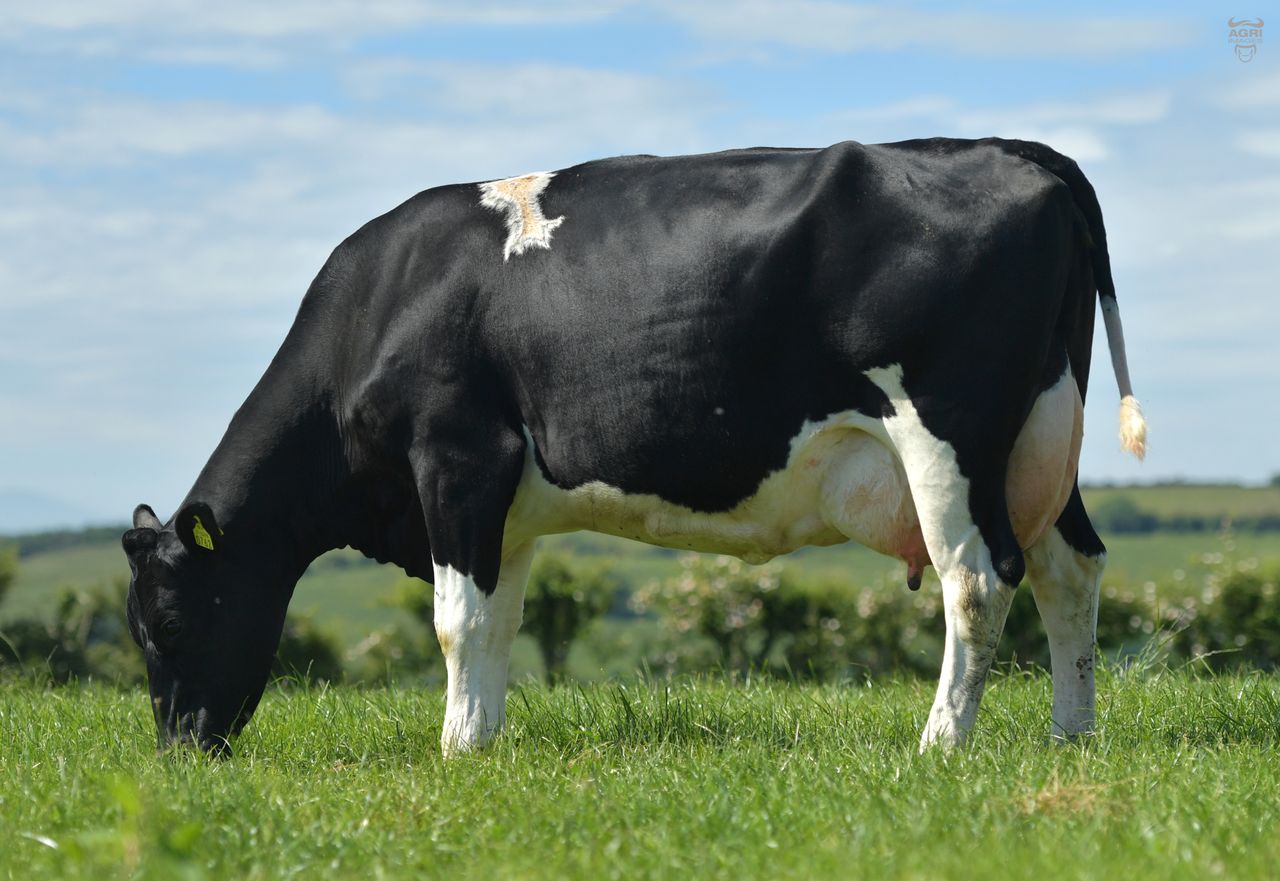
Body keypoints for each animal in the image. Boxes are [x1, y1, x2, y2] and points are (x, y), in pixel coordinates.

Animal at [122, 137, 1145, 756]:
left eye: (168, 622)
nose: (181, 751)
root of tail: (1015, 149)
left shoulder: (455, 457)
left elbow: (457, 622)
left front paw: (453, 748)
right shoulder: (502, 504)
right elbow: (497, 619)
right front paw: (483, 741)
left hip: (949, 435)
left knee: (977, 579)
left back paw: (939, 743)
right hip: (1041, 441)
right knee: (1071, 571)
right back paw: (1073, 733)